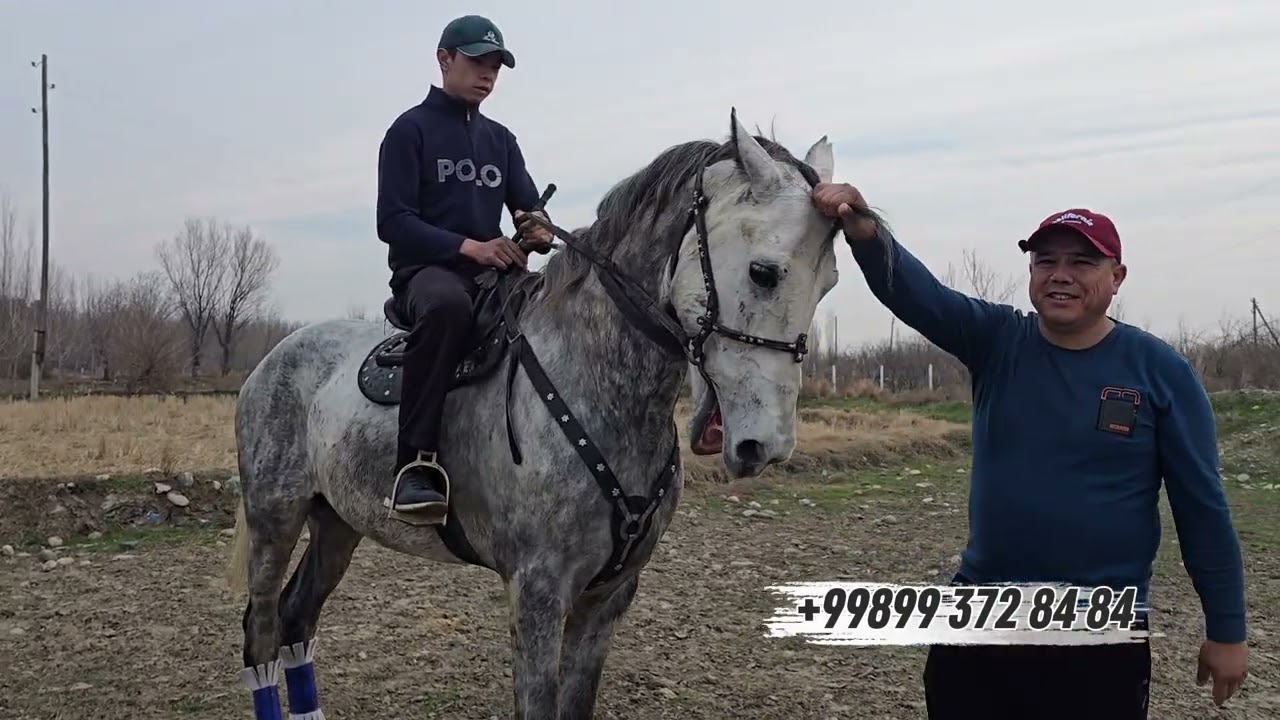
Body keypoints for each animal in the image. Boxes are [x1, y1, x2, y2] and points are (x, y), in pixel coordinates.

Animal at [224, 108, 880, 720]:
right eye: (763, 271)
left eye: (829, 282)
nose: (764, 446)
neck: (596, 386)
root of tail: (273, 358)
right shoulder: (538, 593)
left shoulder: (608, 596)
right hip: (276, 517)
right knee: (261, 630)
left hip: (337, 521)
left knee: (297, 617)